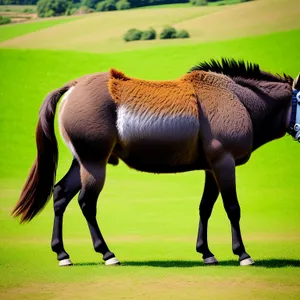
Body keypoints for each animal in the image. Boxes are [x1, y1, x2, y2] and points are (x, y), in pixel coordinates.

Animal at [10, 58, 298, 268]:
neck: (236, 98)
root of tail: (74, 86)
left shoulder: (211, 168)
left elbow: (205, 207)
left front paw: (206, 252)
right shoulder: (224, 163)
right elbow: (232, 208)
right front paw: (243, 254)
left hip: (81, 162)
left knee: (60, 194)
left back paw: (62, 254)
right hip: (94, 164)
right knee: (86, 203)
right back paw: (107, 253)